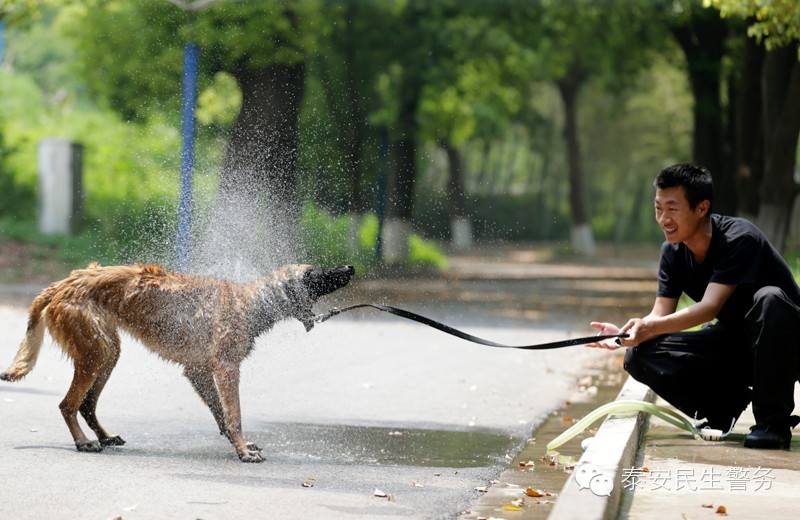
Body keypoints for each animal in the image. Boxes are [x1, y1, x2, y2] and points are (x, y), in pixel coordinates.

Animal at [1, 262, 354, 462]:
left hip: (107, 353)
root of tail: (63, 283)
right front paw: (242, 452)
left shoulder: (199, 372)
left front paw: (236, 445)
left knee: (86, 404)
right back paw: (83, 443)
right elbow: (235, 416)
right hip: (94, 355)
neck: (253, 302)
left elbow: (223, 417)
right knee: (68, 404)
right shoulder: (226, 370)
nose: (350, 268)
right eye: (314, 273)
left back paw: (103, 437)